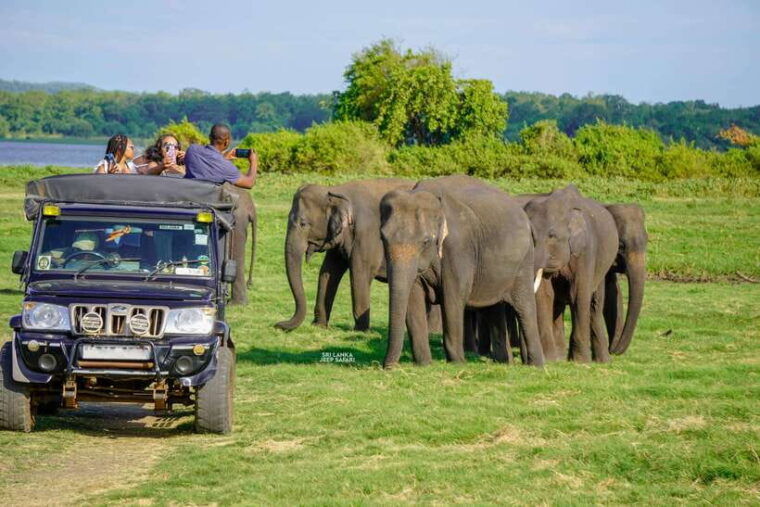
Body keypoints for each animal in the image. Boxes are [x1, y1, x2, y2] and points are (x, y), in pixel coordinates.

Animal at [276, 178, 414, 331]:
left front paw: (360, 331)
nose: (277, 324)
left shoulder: (368, 234)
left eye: (303, 224)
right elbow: (328, 272)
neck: (336, 191)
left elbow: (359, 273)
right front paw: (319, 326)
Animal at [380, 174, 545, 368]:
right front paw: (424, 364)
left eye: (426, 241)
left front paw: (457, 363)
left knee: (524, 307)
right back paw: (504, 362)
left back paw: (536, 366)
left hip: (524, 262)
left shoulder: (458, 248)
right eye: (382, 238)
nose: (386, 366)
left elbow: (453, 297)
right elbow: (413, 298)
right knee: (494, 308)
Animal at [523, 185, 619, 363]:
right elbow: (545, 295)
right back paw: (561, 357)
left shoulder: (585, 250)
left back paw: (603, 360)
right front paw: (550, 359)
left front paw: (580, 361)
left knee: (594, 304)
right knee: (558, 303)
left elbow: (578, 294)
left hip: (602, 266)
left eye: (551, 236)